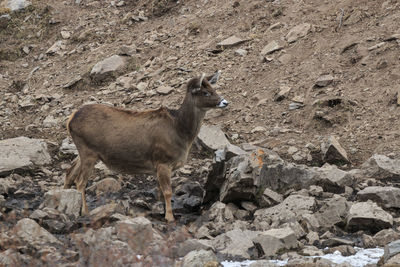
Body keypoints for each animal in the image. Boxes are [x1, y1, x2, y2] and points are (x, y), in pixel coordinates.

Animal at [63, 70, 227, 222]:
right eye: (205, 92)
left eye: (213, 88)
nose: (225, 102)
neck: (181, 132)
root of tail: (70, 120)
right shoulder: (162, 160)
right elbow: (167, 191)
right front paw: (170, 217)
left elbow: (160, 192)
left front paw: (162, 212)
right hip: (88, 151)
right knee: (80, 181)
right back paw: (85, 211)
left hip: (83, 150)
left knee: (69, 172)